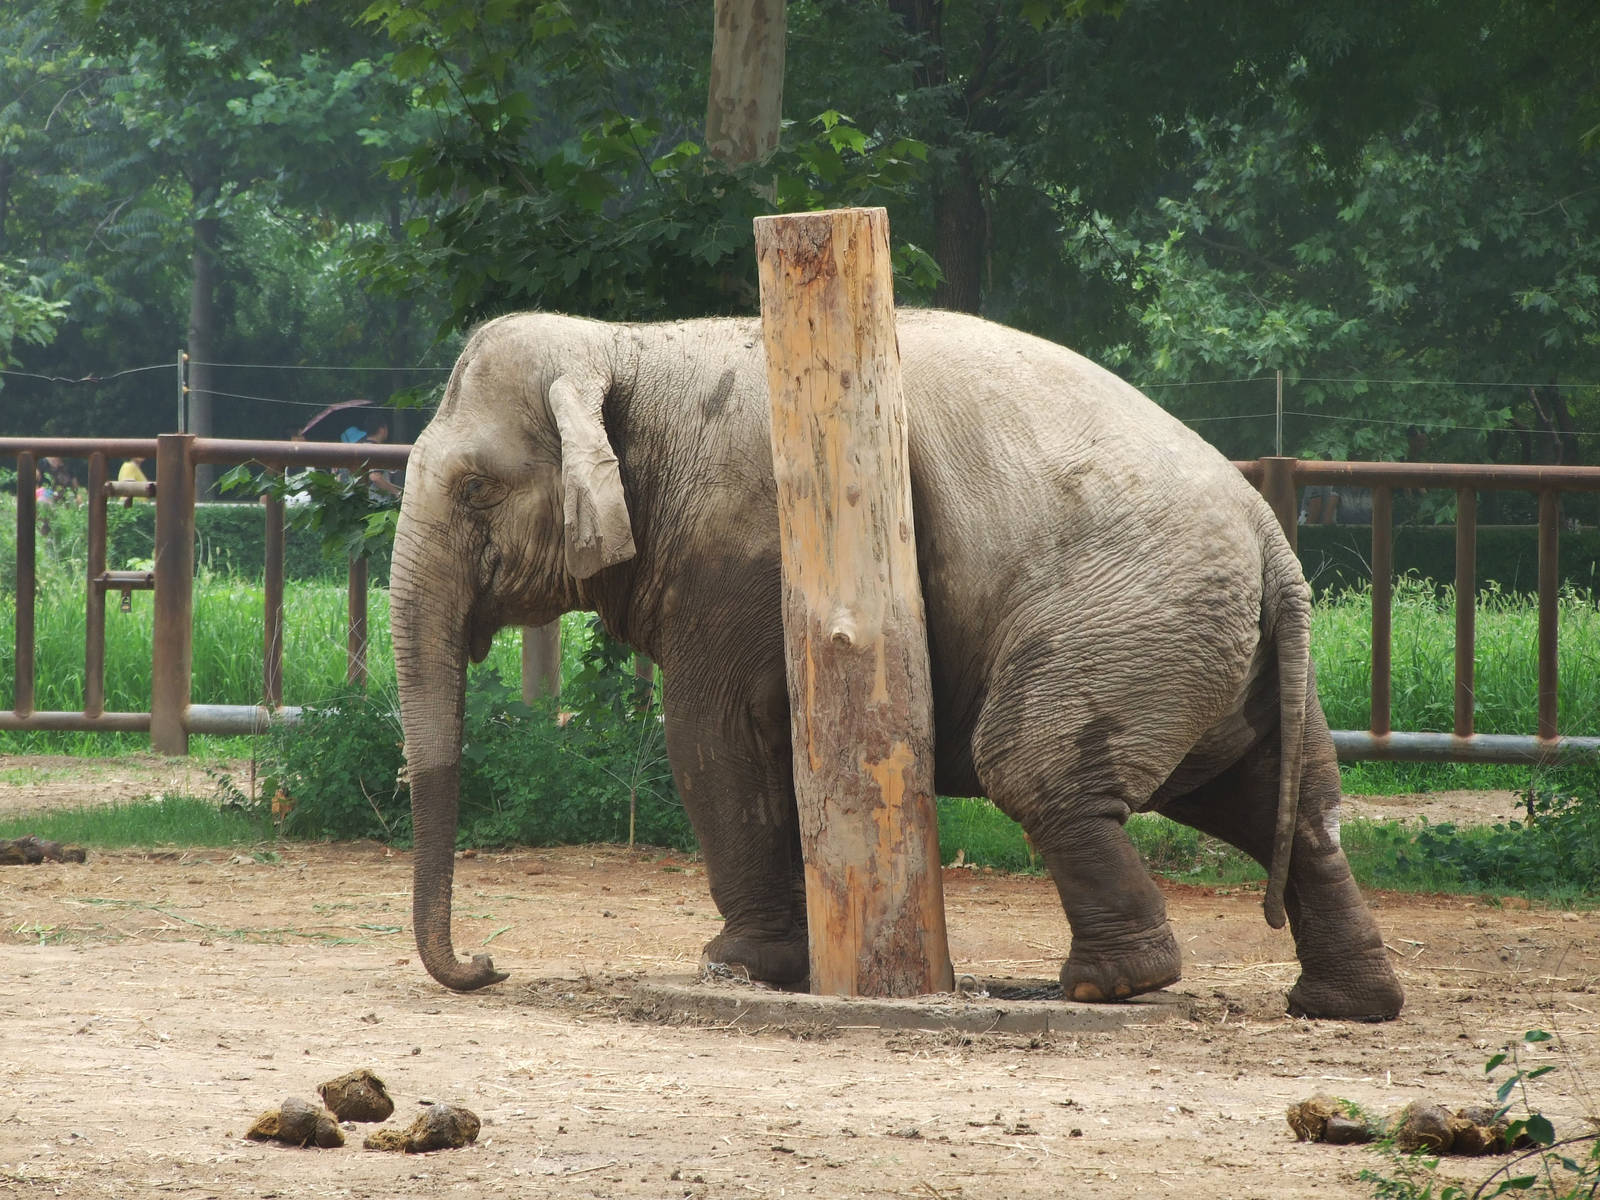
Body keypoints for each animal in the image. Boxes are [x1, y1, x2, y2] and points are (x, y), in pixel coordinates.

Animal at [391, 308, 1405, 1022]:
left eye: (475, 489)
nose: (488, 964)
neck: (630, 344)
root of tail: (1271, 534)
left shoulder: (748, 547)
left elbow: (713, 737)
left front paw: (736, 965)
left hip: (1126, 619)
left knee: (1036, 766)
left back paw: (1109, 985)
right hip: (1210, 648)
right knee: (1282, 800)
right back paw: (1341, 1004)